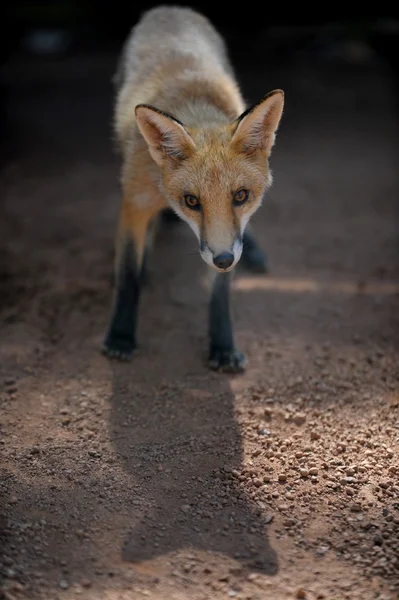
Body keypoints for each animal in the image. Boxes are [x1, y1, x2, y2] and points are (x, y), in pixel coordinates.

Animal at [103, 4, 284, 372]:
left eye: (240, 196)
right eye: (191, 201)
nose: (224, 259)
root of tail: (170, 8)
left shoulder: (228, 238)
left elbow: (220, 293)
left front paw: (223, 346)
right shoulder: (134, 201)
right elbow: (128, 275)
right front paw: (121, 336)